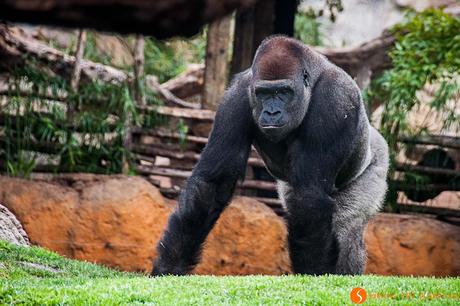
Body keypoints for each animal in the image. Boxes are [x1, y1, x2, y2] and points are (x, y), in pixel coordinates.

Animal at [151, 35, 388, 274]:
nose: (272, 112)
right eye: (263, 93)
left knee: (346, 227)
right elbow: (212, 184)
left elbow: (310, 194)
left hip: (377, 161)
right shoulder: (236, 97)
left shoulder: (335, 99)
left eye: (283, 92)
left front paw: (314, 272)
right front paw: (170, 264)